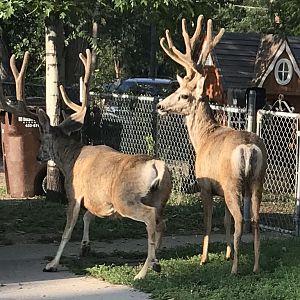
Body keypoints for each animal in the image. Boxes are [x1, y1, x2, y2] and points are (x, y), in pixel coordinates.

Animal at [0, 49, 171, 282]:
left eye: (41, 139)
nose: (37, 156)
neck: (70, 159)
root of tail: (157, 165)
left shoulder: (74, 194)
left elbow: (67, 229)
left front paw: (52, 263)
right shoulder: (95, 198)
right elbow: (89, 216)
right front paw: (85, 247)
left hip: (126, 198)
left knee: (151, 218)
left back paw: (143, 272)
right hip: (160, 197)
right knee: (162, 222)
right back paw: (155, 263)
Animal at [157, 16, 268, 274]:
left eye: (184, 95)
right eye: (177, 89)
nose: (160, 105)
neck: (203, 138)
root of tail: (248, 147)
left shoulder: (206, 186)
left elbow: (208, 222)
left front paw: (205, 258)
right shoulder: (220, 190)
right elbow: (225, 221)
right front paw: (227, 253)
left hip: (232, 182)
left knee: (241, 219)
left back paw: (236, 269)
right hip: (256, 182)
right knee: (255, 219)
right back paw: (256, 266)